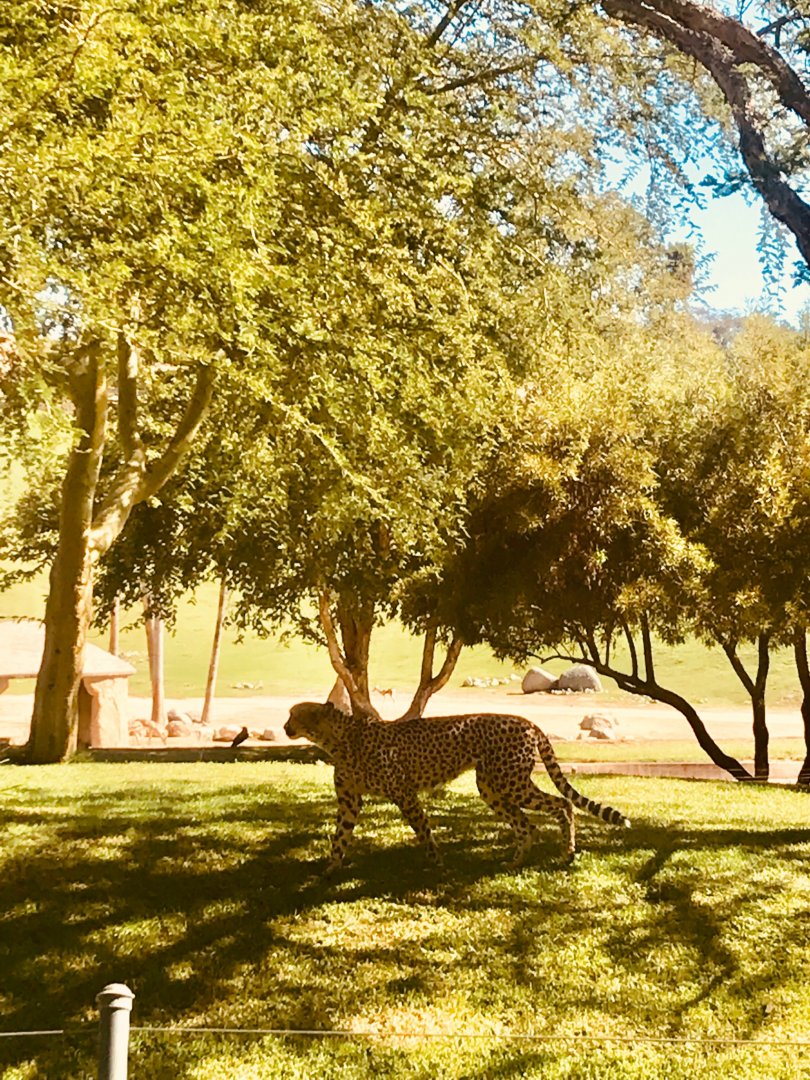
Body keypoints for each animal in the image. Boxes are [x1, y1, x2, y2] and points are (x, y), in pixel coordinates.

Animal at [284, 701, 630, 873]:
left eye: (293, 714)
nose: (285, 726)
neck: (339, 739)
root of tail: (526, 721)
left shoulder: (405, 795)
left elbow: (424, 832)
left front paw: (436, 866)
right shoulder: (349, 802)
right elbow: (339, 838)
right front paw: (329, 869)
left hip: (511, 781)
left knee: (562, 804)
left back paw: (568, 852)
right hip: (491, 786)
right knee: (526, 825)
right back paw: (515, 862)